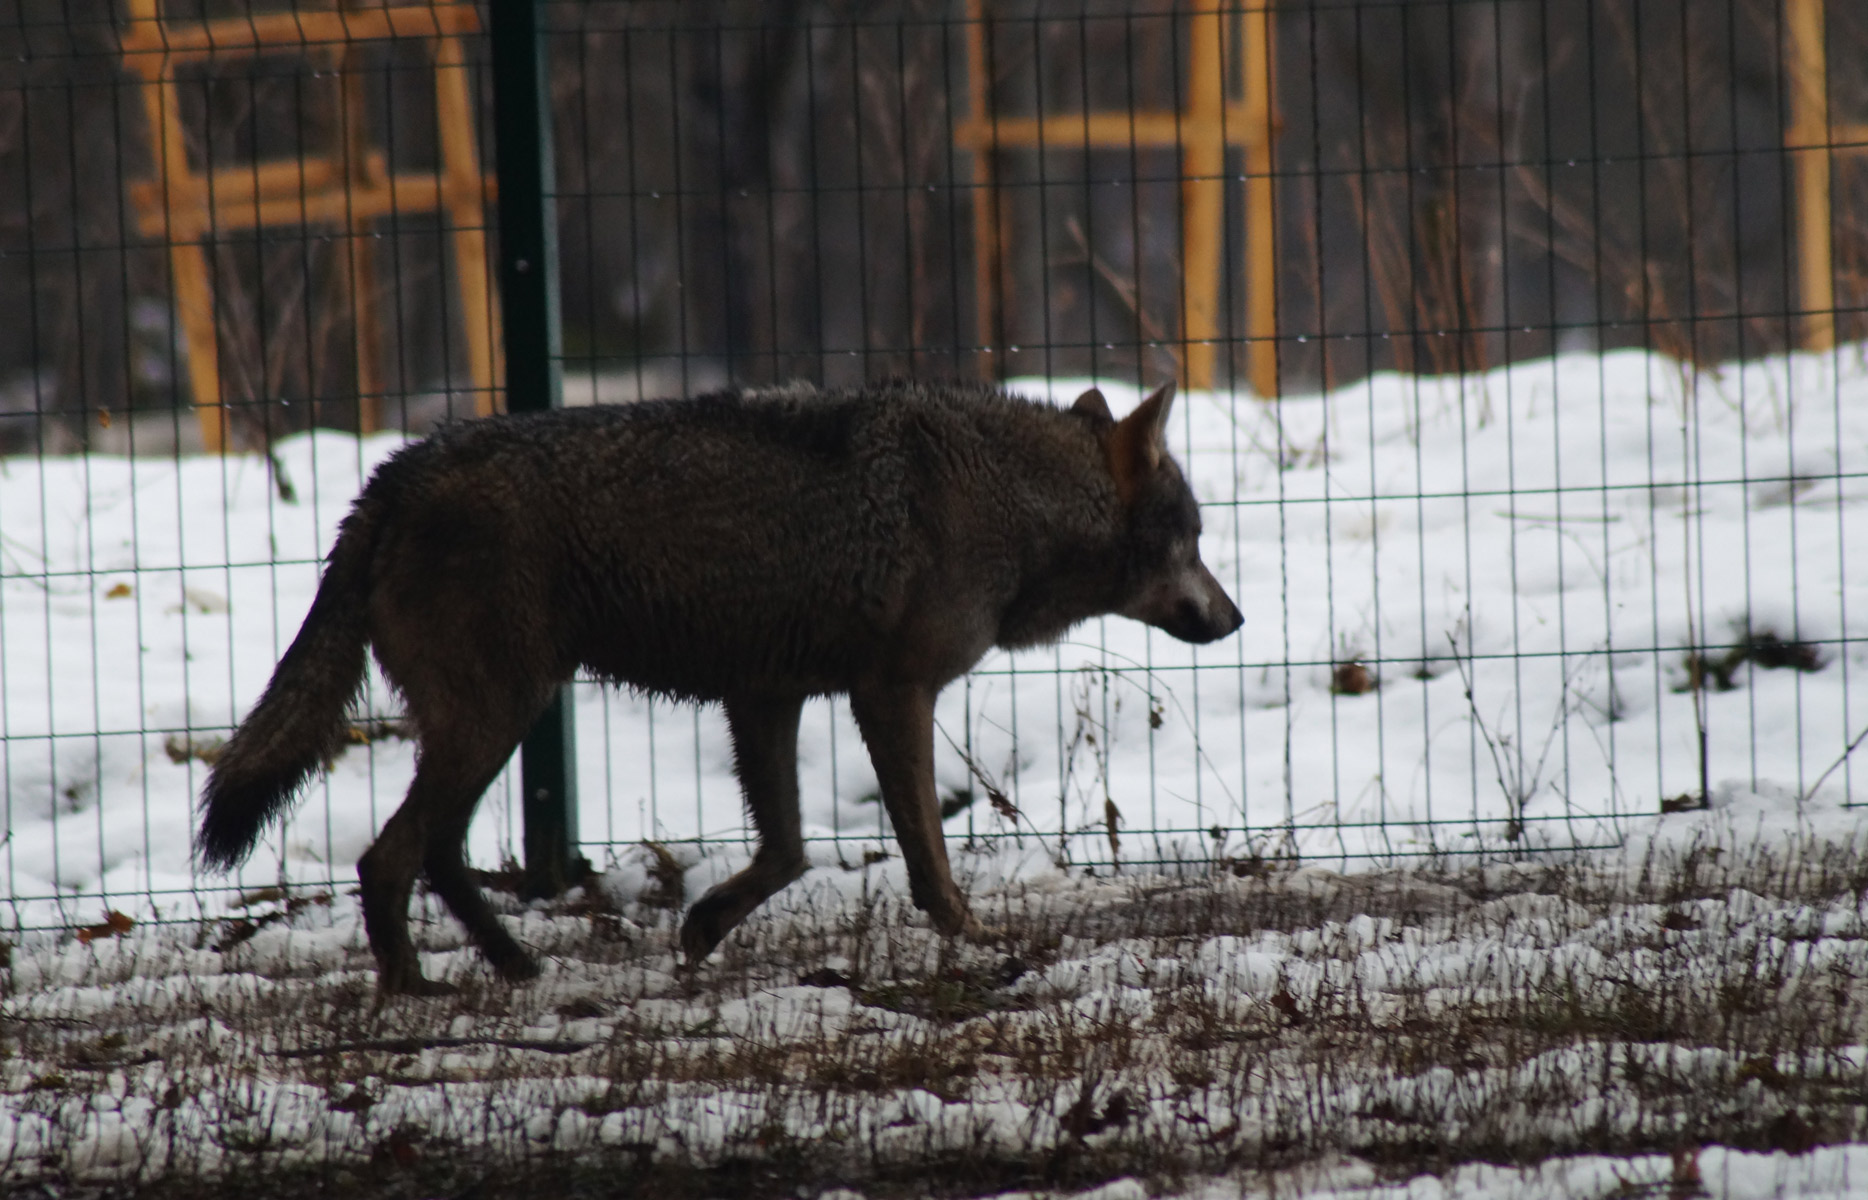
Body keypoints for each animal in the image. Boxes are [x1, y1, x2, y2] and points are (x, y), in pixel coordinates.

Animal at [193, 375, 1240, 986]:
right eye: (1192, 537)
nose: (1233, 619)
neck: (1007, 494)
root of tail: (392, 477)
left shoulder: (766, 696)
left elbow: (789, 853)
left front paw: (702, 927)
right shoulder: (890, 694)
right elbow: (925, 859)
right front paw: (975, 939)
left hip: (501, 721)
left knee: (438, 853)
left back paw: (516, 966)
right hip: (497, 717)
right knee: (389, 856)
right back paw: (415, 986)